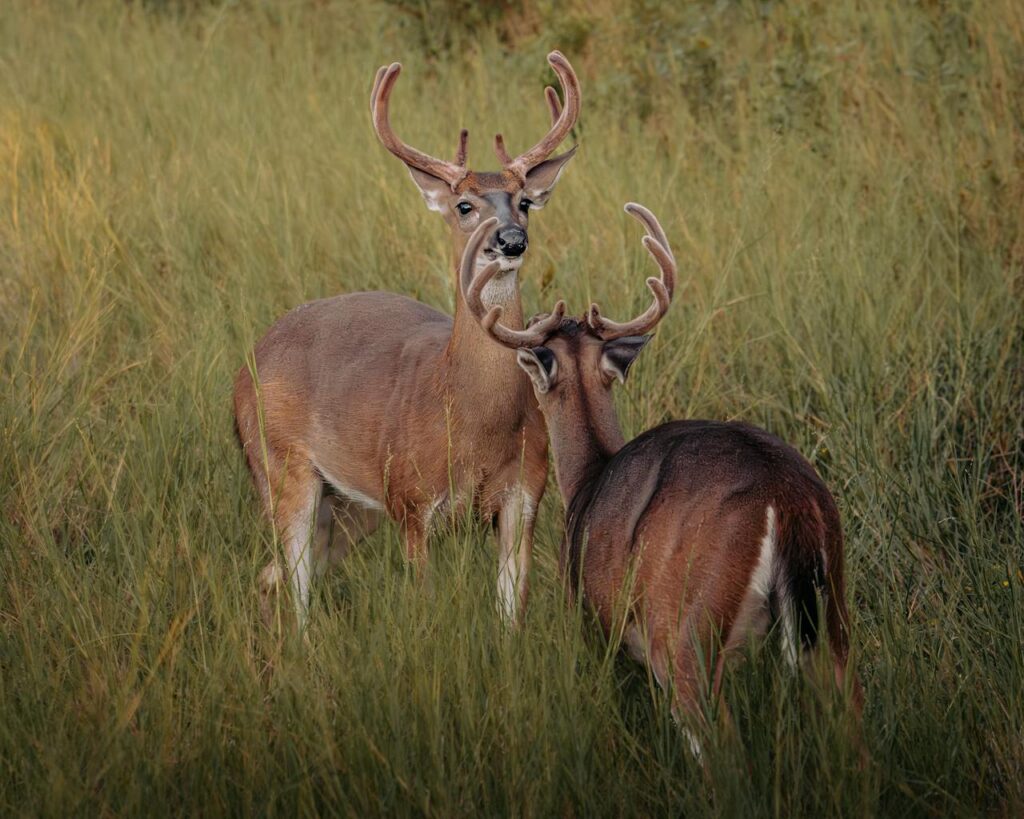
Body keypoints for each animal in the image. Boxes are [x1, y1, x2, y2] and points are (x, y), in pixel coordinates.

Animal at [234, 52, 581, 628]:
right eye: (464, 205)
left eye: (525, 202)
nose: (511, 240)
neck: (468, 416)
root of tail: (244, 369)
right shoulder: (410, 499)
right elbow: (425, 603)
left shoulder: (525, 495)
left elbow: (512, 614)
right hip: (280, 465)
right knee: (295, 584)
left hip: (349, 504)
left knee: (270, 577)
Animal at [461, 203, 862, 754]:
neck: (587, 480)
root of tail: (785, 498)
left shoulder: (594, 619)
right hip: (833, 607)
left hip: (684, 624)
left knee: (718, 737)